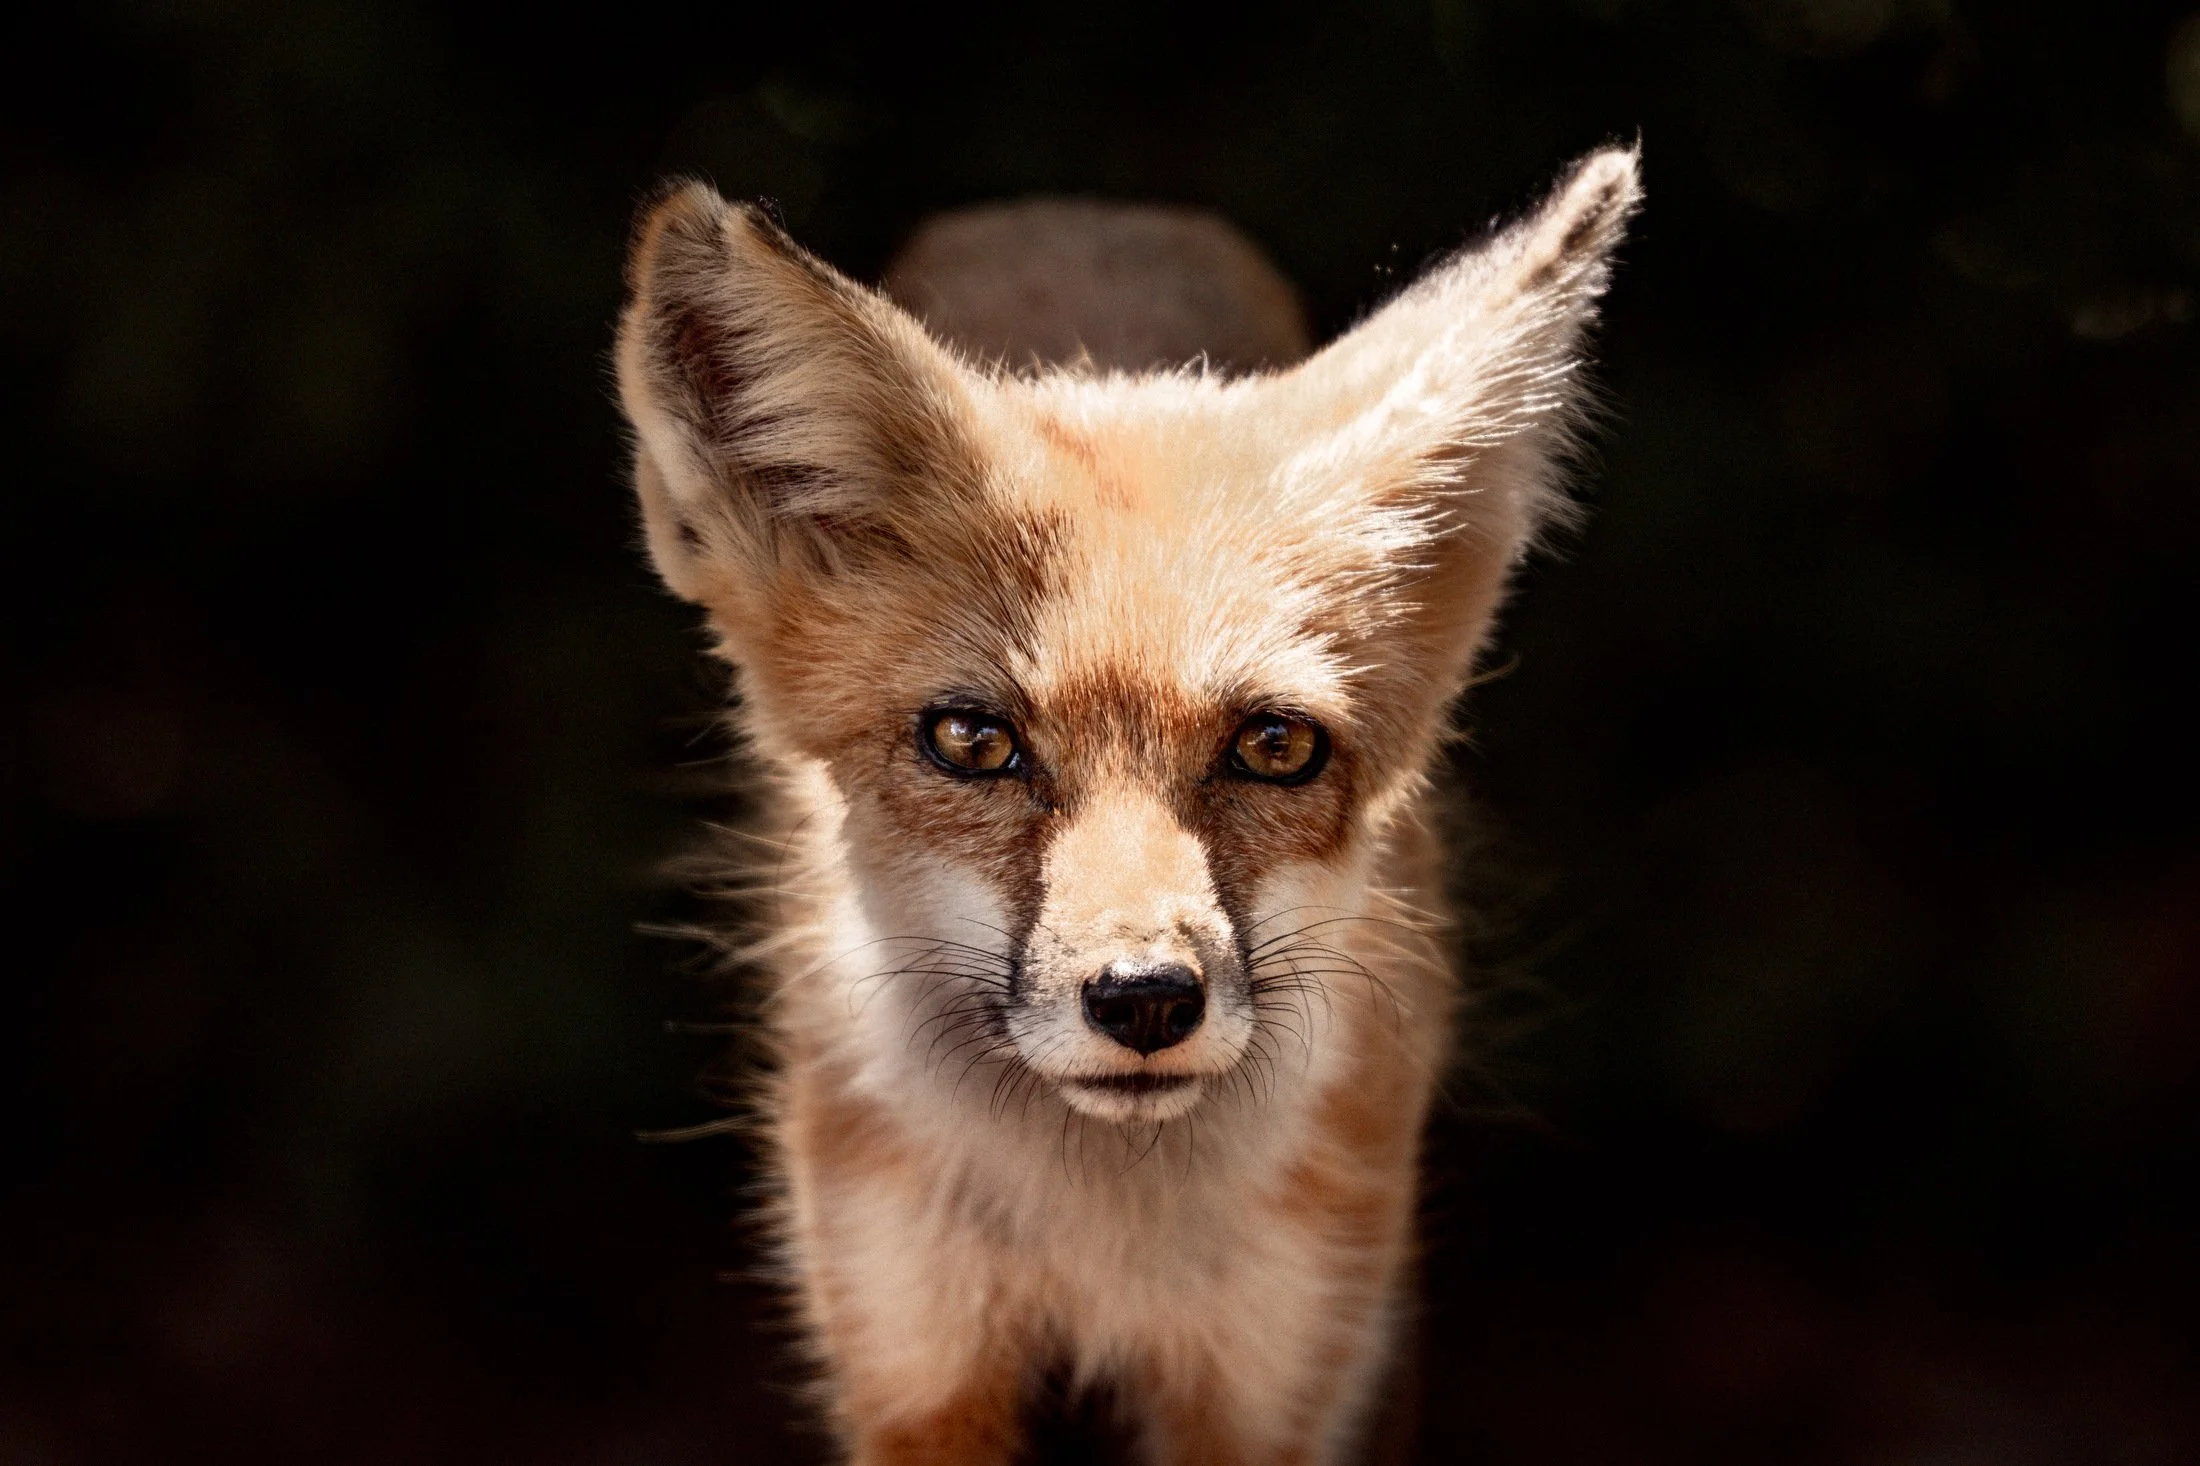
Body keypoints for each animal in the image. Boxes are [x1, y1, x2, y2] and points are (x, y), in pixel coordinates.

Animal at [613, 145, 1642, 1464]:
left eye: (1274, 745)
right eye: (971, 740)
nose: (1145, 999)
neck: (1095, 1227)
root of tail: (1089, 210)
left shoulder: (1270, 1377)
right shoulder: (915, 1362)